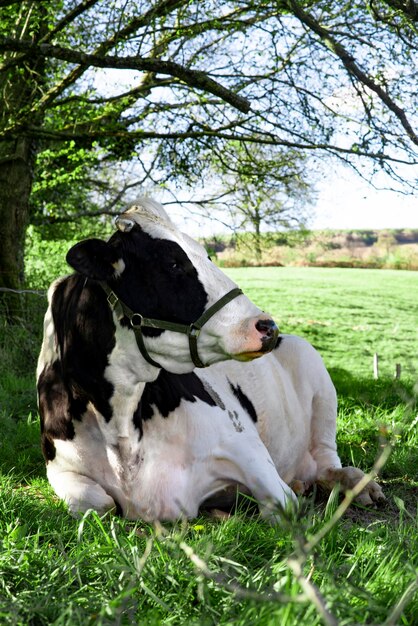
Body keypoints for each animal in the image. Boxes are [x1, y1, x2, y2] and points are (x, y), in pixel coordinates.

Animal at [36, 197, 386, 520]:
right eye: (173, 263)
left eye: (207, 255)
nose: (267, 326)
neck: (120, 426)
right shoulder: (59, 467)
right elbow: (96, 503)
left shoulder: (244, 446)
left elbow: (280, 503)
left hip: (320, 383)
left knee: (327, 461)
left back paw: (359, 484)